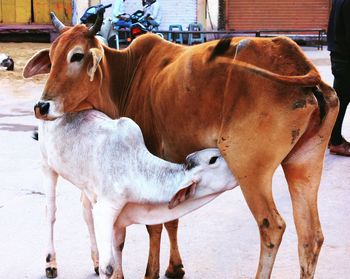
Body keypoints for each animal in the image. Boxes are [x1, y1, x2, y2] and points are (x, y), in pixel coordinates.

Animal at [39, 110, 239, 278]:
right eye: (213, 159)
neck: (135, 170)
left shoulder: (118, 214)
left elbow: (119, 245)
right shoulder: (106, 210)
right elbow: (108, 267)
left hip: (86, 188)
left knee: (86, 213)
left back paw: (94, 260)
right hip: (47, 166)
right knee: (50, 213)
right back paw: (50, 264)